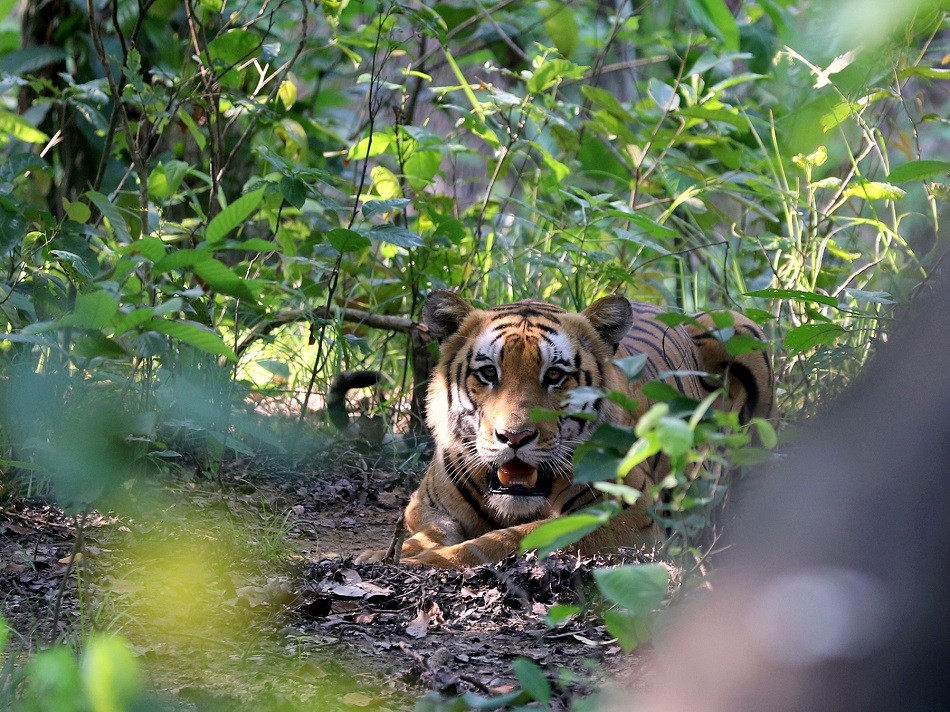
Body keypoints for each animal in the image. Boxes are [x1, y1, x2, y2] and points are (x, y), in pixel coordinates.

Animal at [356, 290, 772, 568]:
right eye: (488, 373)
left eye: (555, 376)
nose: (515, 437)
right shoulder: (424, 503)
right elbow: (435, 528)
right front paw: (384, 553)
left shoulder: (623, 516)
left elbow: (506, 540)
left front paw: (422, 561)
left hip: (740, 328)